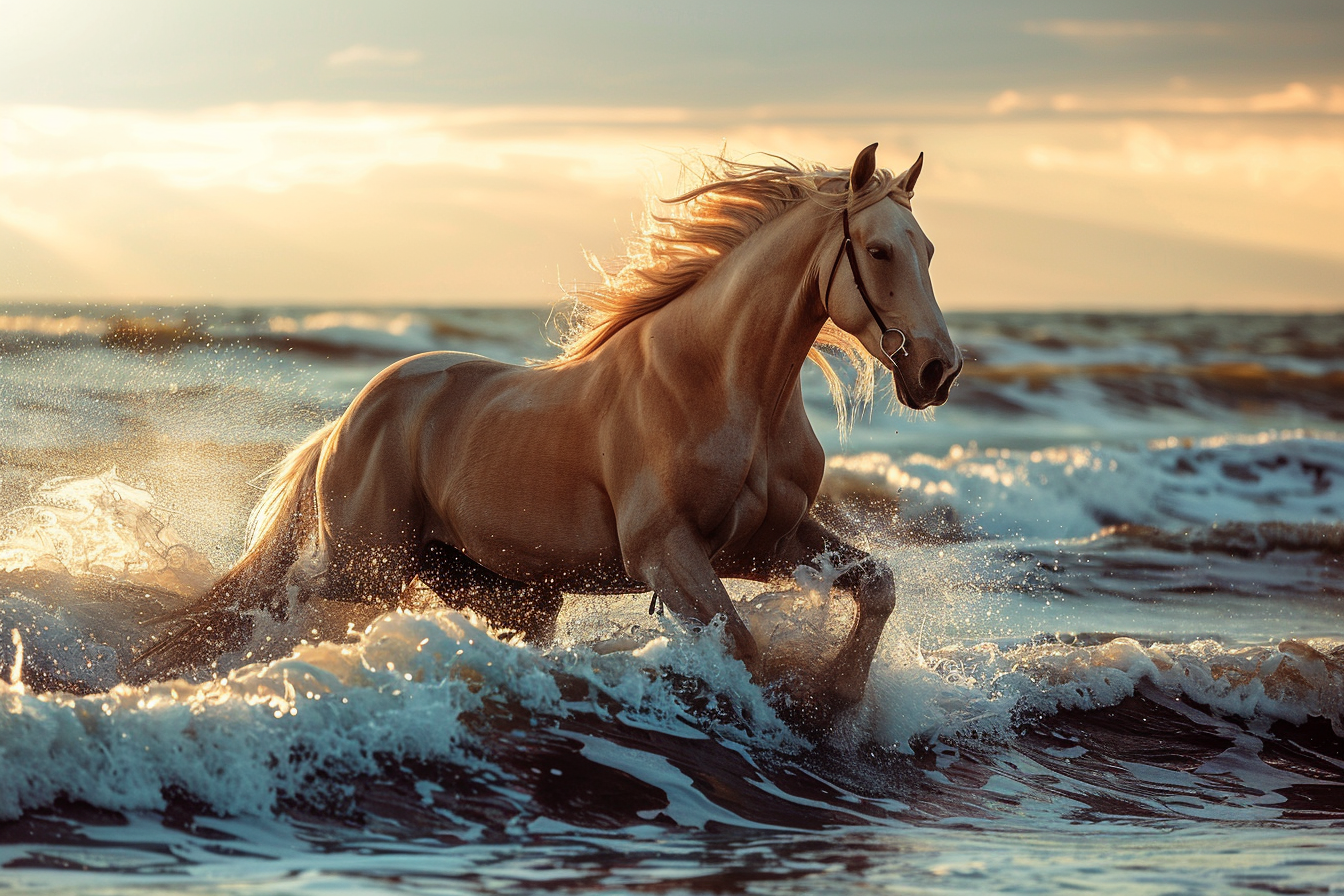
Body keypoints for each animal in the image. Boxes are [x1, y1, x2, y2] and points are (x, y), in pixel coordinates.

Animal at [134, 143, 962, 732]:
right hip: (364, 567)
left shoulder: (766, 543)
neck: (724, 386)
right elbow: (742, 649)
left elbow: (878, 585)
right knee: (283, 607)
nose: (937, 369)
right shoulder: (666, 552)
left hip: (506, 593)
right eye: (879, 250)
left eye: (928, 249)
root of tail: (347, 421)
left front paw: (836, 703)